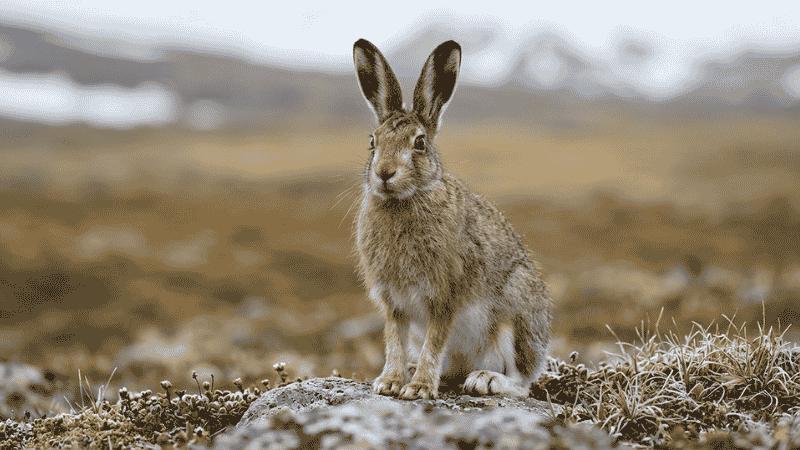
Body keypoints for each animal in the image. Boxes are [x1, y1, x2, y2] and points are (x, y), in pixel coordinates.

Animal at [352, 38, 552, 400]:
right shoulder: (393, 303)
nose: (384, 173)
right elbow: (394, 340)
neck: (405, 200)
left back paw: (485, 379)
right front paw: (390, 382)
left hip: (516, 314)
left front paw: (418, 388)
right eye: (372, 141)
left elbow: (434, 342)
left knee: (522, 382)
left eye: (419, 143)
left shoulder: (445, 296)